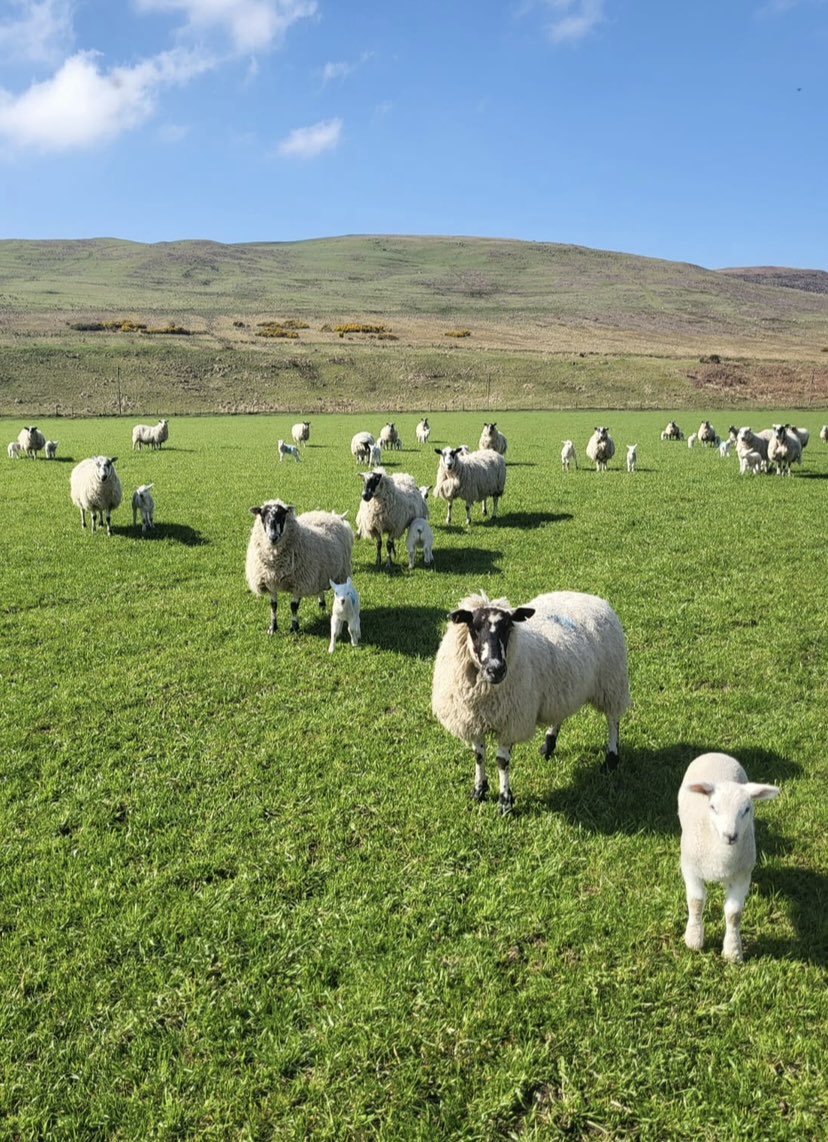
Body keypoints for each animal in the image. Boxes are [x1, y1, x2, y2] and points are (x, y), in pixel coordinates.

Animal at [242, 497, 351, 634]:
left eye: (282, 515)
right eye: (262, 515)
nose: (273, 537)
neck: (276, 562)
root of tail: (332, 515)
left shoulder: (299, 583)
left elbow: (293, 606)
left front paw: (294, 627)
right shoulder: (270, 582)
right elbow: (273, 606)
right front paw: (273, 628)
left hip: (342, 572)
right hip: (320, 573)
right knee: (320, 590)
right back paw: (322, 607)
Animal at [429, 589, 630, 813]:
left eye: (508, 627)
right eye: (474, 628)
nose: (496, 669)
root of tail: (589, 596)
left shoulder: (511, 721)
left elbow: (502, 762)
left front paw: (505, 802)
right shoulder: (472, 719)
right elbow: (479, 756)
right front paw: (479, 792)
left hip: (612, 681)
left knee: (613, 720)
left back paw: (611, 758)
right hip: (562, 687)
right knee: (559, 716)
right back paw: (548, 746)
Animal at [676, 753, 776, 959]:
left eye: (746, 809)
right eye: (713, 807)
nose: (731, 836)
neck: (721, 859)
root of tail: (716, 754)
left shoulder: (742, 875)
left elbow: (734, 914)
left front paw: (733, 951)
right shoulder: (690, 868)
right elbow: (696, 902)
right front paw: (694, 939)